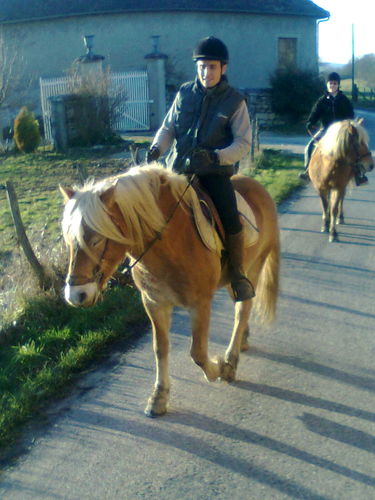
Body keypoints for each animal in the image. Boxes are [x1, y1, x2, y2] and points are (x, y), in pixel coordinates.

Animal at [61, 166, 280, 416]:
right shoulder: (154, 303)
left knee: (242, 310)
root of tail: (259, 188)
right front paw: (159, 397)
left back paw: (231, 361)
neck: (170, 240)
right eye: (69, 240)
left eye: (96, 240)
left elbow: (198, 352)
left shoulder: (200, 304)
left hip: (252, 269)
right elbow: (160, 349)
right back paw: (242, 340)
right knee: (239, 308)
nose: (76, 295)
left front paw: (217, 368)